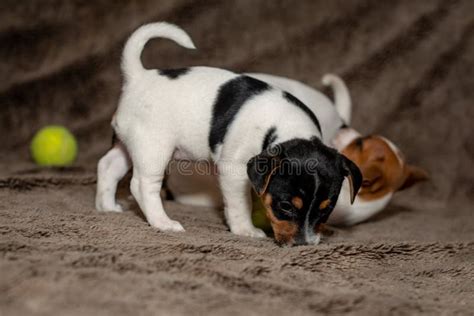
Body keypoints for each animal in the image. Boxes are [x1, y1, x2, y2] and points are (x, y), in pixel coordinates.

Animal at [98, 22, 362, 246]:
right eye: (286, 205)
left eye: (326, 209)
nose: (304, 244)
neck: (289, 127)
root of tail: (138, 77)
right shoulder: (234, 171)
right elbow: (239, 204)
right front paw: (245, 229)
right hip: (154, 146)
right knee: (142, 185)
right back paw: (163, 223)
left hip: (127, 142)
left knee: (108, 166)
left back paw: (107, 207)